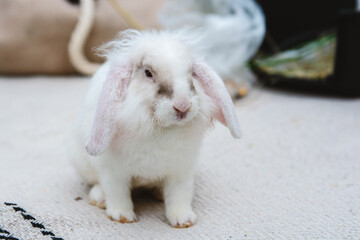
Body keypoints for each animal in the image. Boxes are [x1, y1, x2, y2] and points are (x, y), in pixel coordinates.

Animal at [69, 29, 240, 228]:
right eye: (148, 73)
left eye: (191, 73)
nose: (183, 106)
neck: (162, 128)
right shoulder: (113, 172)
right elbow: (117, 193)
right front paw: (122, 216)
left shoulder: (181, 172)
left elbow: (179, 195)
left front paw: (183, 220)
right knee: (97, 183)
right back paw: (99, 198)